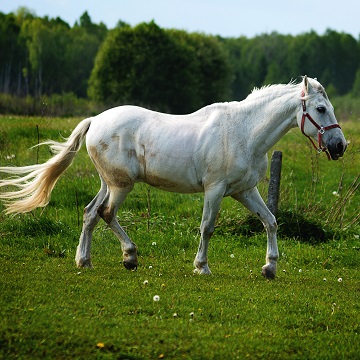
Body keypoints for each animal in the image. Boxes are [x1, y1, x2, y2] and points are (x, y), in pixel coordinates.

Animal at [0, 76, 346, 278]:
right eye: (320, 108)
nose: (340, 146)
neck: (244, 132)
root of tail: (95, 120)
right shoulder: (215, 190)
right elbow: (207, 228)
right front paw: (202, 267)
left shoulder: (244, 190)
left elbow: (270, 221)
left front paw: (270, 266)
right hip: (122, 185)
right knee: (106, 213)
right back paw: (130, 257)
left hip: (109, 183)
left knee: (90, 213)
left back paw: (84, 261)